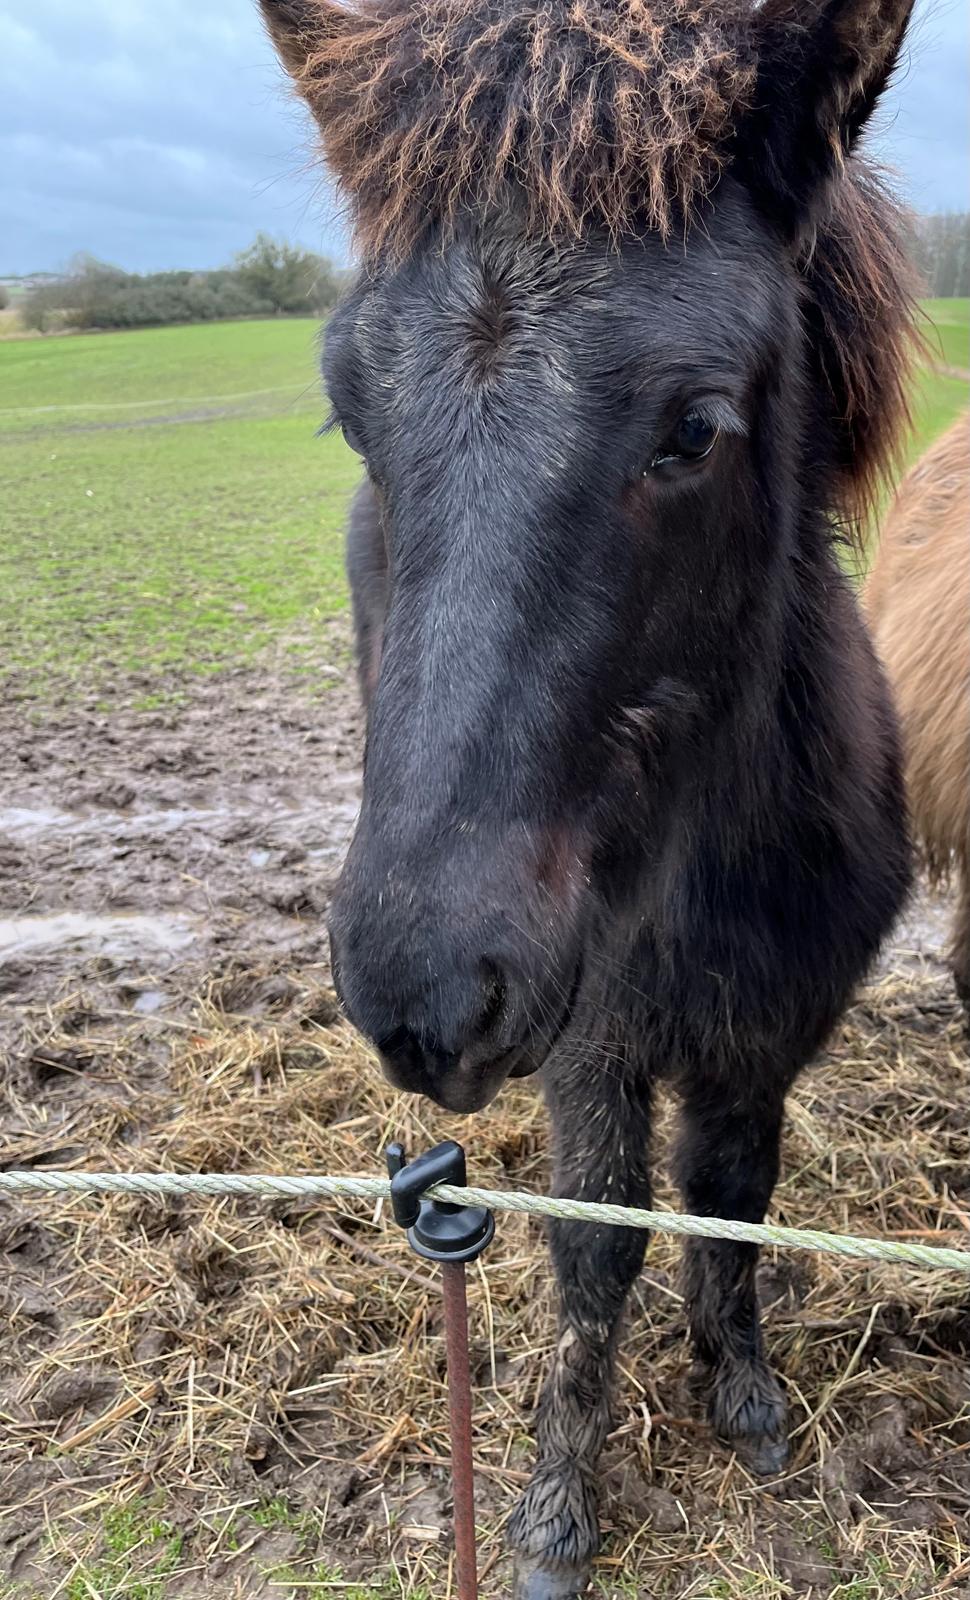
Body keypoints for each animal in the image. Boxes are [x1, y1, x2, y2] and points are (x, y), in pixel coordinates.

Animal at [256, 6, 921, 1593]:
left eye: (695, 426)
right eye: (346, 409)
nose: (422, 988)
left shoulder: (761, 1031)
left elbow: (730, 1196)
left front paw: (739, 1388)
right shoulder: (590, 1046)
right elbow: (591, 1247)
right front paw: (559, 1504)